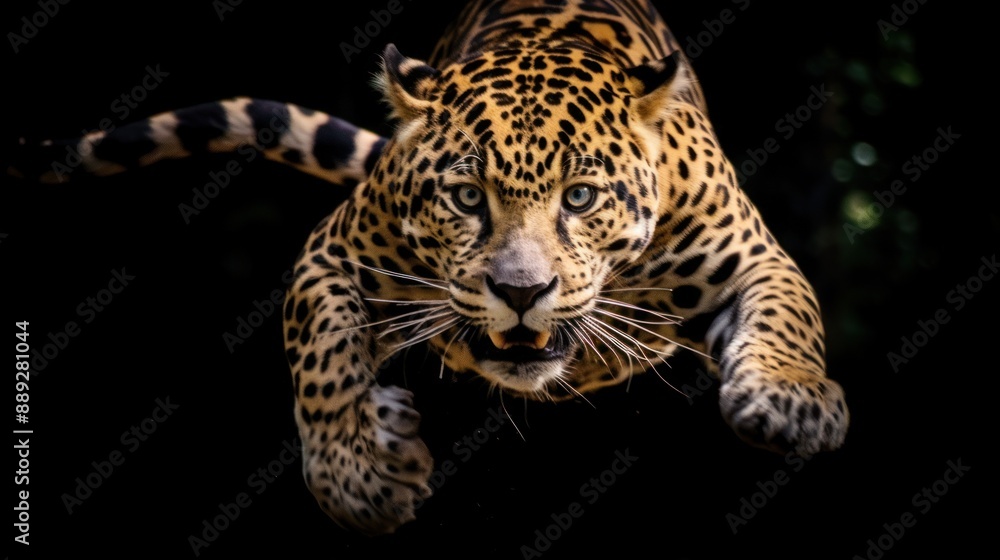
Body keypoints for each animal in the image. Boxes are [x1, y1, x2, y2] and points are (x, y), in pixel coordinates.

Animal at [9, 0, 849, 536]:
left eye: (580, 196)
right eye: (467, 197)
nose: (520, 292)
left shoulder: (754, 257)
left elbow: (789, 319)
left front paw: (791, 401)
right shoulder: (332, 253)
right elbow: (323, 357)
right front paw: (357, 481)